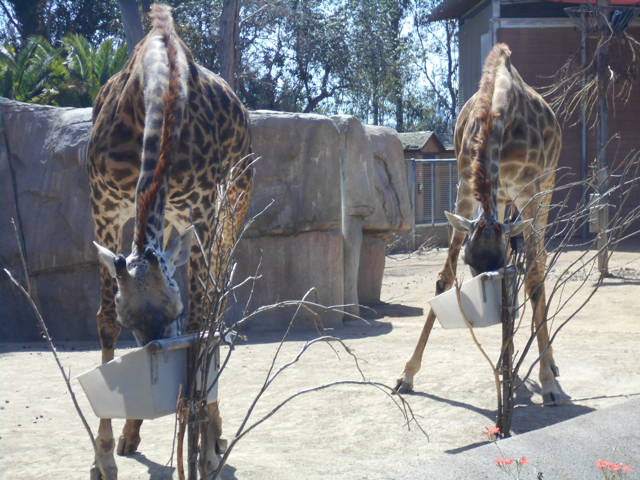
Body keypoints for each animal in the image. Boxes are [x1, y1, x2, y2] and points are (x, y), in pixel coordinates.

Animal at [86, 4, 253, 479]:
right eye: (131, 321)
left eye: (173, 310)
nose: (157, 358)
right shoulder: (104, 206)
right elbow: (103, 322)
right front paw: (104, 455)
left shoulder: (203, 210)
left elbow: (200, 325)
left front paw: (204, 451)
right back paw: (133, 435)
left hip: (234, 203)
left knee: (216, 309)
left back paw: (213, 433)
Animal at [395, 43, 562, 406]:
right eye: (470, 260)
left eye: (494, 265)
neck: (500, 107)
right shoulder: (467, 189)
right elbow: (444, 278)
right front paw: (407, 374)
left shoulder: (529, 190)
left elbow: (531, 278)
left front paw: (547, 382)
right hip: (500, 199)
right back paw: (505, 361)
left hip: (546, 188)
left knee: (539, 264)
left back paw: (549, 365)